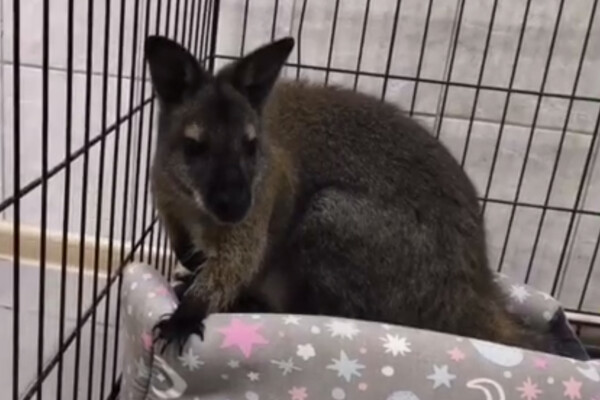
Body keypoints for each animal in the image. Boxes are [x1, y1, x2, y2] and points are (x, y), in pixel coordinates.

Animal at [145, 35, 554, 355]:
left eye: (251, 146)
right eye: (194, 147)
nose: (235, 207)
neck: (195, 205)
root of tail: (476, 292)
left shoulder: (259, 208)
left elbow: (237, 262)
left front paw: (187, 313)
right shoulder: (166, 196)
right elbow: (185, 244)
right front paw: (191, 267)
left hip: (337, 220)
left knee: (328, 313)